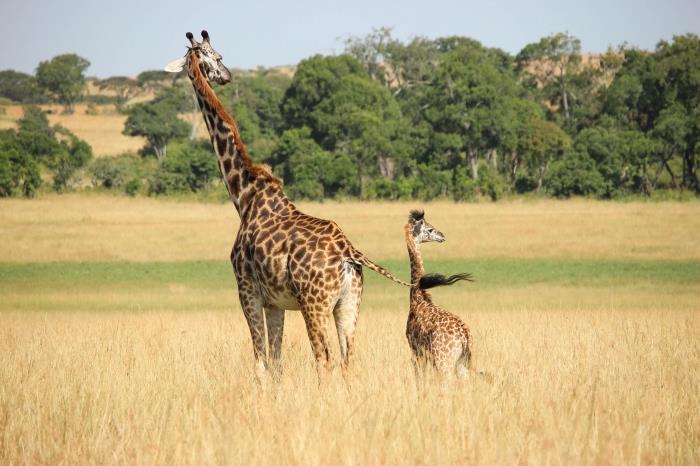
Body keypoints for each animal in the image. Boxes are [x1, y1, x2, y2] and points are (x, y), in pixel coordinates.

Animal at [165, 30, 410, 378]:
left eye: (218, 56)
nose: (226, 76)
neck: (244, 195)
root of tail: (350, 252)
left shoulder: (247, 290)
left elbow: (260, 363)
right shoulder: (275, 302)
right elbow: (277, 362)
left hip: (314, 304)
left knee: (324, 359)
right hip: (349, 303)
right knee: (347, 360)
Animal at [404, 211, 492, 382]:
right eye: (430, 229)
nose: (442, 236)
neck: (419, 297)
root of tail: (465, 337)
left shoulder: (416, 351)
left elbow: (420, 380)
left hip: (444, 362)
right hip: (461, 363)